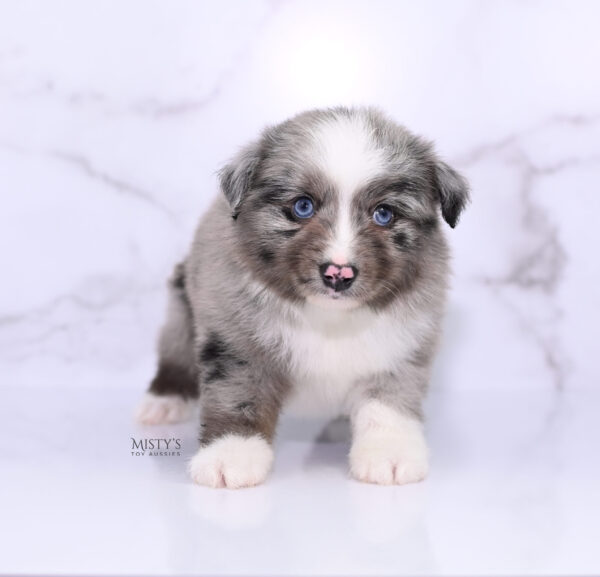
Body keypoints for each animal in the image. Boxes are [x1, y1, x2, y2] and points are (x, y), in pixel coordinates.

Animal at [136, 107, 468, 486]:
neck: (330, 319)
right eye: (303, 207)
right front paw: (231, 454)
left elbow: (389, 401)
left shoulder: (400, 345)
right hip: (182, 308)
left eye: (384, 214)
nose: (338, 274)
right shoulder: (236, 343)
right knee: (175, 353)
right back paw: (164, 400)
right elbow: (238, 397)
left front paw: (389, 452)